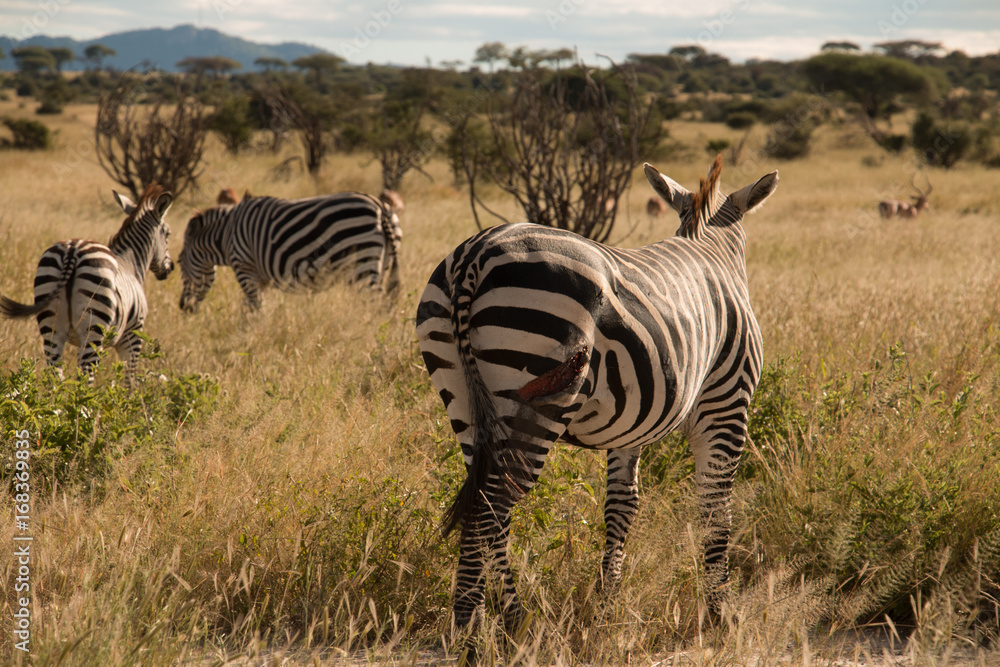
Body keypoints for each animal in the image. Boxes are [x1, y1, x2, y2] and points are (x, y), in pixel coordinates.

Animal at [0, 185, 174, 383]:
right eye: (168, 234)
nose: (170, 268)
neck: (131, 264)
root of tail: (72, 251)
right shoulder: (133, 334)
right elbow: (129, 380)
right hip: (94, 325)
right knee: (86, 378)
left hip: (51, 324)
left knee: (55, 375)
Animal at [178, 192, 401, 313]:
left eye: (179, 263)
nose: (182, 307)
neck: (225, 235)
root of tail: (380, 207)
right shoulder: (261, 278)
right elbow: (252, 308)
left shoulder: (244, 267)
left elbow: (255, 307)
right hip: (382, 263)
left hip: (362, 262)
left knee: (379, 303)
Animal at [415, 156, 778, 634]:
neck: (712, 249)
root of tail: (477, 252)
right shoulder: (726, 404)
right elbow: (715, 508)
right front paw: (719, 612)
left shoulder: (635, 422)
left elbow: (622, 504)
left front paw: (608, 599)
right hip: (535, 394)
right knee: (490, 507)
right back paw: (472, 626)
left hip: (462, 396)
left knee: (486, 502)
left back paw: (506, 619)